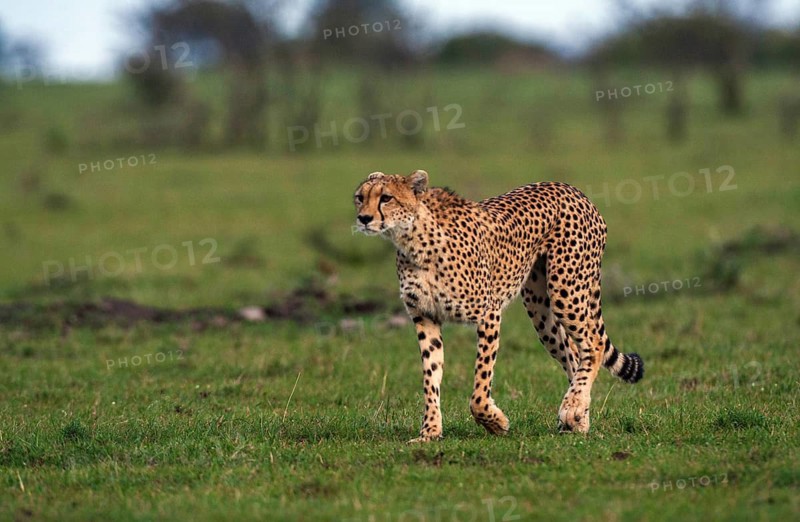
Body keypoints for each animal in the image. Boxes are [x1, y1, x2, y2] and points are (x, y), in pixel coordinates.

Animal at [353, 169, 644, 442]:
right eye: (359, 197)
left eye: (386, 198)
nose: (363, 218)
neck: (413, 239)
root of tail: (572, 189)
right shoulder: (425, 316)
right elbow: (431, 376)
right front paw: (430, 432)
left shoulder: (488, 312)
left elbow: (481, 384)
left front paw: (495, 422)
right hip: (540, 309)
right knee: (573, 352)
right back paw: (576, 419)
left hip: (567, 290)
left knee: (593, 344)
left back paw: (573, 407)